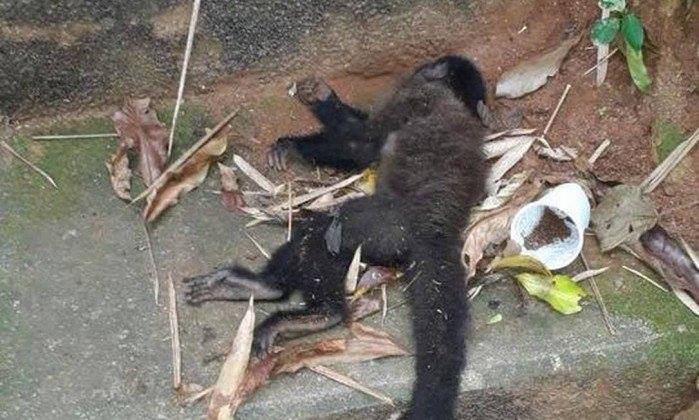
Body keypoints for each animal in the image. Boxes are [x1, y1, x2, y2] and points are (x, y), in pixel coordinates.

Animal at [184, 55, 488, 419]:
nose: (423, 66)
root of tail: (434, 230)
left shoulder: (415, 96)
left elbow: (363, 142)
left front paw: (298, 137)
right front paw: (321, 94)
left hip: (382, 227)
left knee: (319, 232)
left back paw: (306, 303)